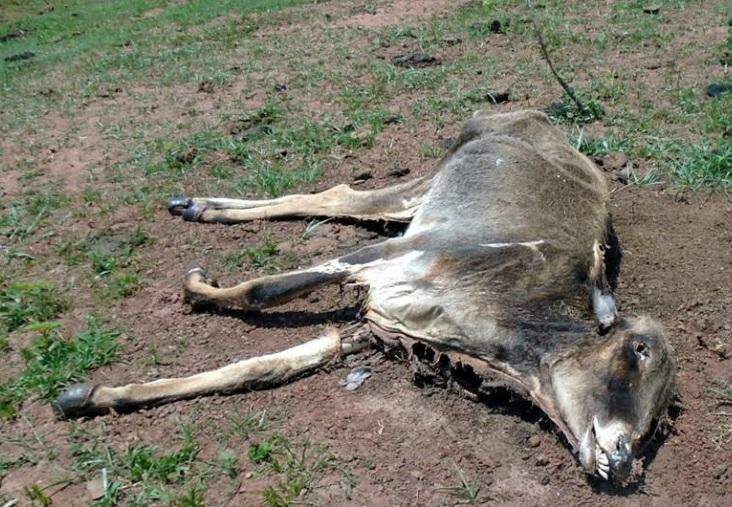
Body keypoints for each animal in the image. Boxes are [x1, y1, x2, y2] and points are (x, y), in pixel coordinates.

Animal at [55, 111, 676, 484]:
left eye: (663, 420)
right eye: (639, 350)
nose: (625, 459)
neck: (492, 326)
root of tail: (534, 115)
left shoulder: (375, 327)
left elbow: (271, 364)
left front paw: (93, 395)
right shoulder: (390, 257)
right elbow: (265, 289)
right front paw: (195, 288)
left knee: (339, 198)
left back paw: (200, 206)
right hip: (427, 186)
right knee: (342, 194)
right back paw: (197, 206)